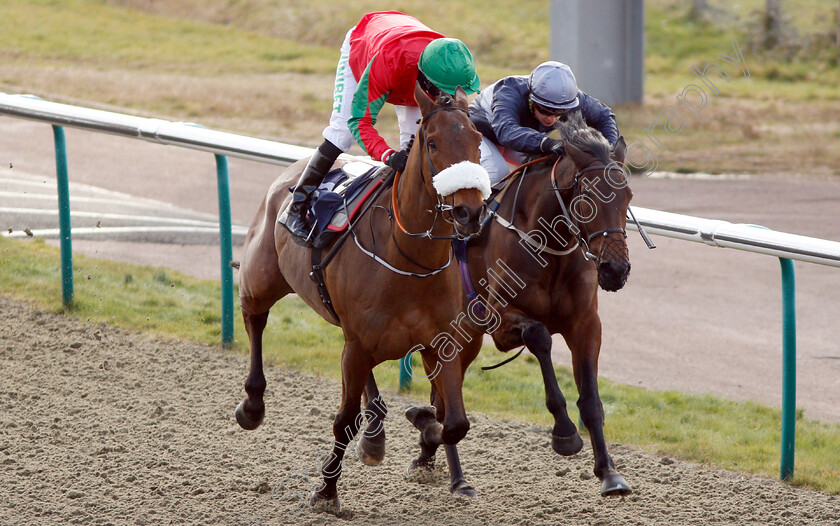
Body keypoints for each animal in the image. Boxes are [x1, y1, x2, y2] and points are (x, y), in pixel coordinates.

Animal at [233, 84, 488, 512]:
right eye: (433, 143)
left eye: (478, 141)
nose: (469, 211)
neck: (409, 259)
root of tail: (290, 172)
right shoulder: (358, 346)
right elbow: (343, 420)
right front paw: (326, 492)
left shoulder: (442, 344)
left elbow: (453, 422)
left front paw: (424, 427)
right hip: (261, 278)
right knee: (255, 319)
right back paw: (252, 406)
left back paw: (376, 434)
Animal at [462, 113, 632, 498]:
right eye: (588, 195)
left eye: (628, 194)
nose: (616, 269)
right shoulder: (499, 321)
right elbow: (539, 336)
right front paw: (565, 433)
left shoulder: (586, 324)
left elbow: (592, 400)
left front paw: (609, 473)